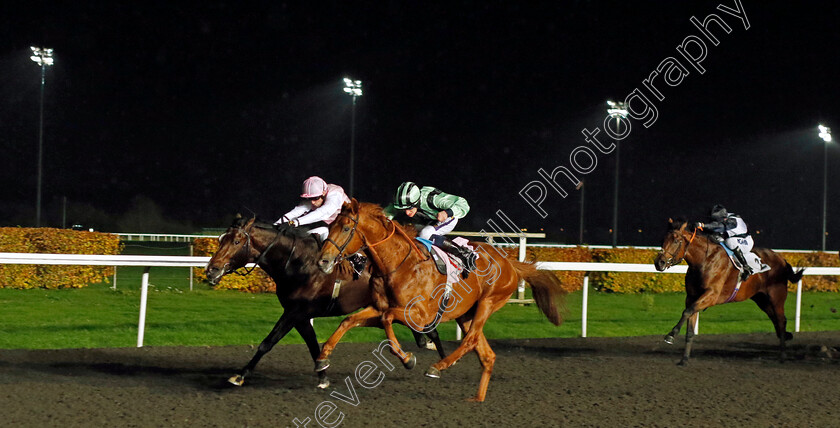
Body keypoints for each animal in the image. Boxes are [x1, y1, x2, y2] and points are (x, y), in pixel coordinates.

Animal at [205, 217, 446, 388]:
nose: (211, 270)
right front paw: (322, 375)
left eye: (236, 241)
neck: (298, 262)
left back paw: (440, 362)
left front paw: (240, 375)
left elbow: (268, 341)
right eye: (221, 239)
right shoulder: (300, 315)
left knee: (431, 330)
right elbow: (312, 345)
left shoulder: (295, 311)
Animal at [316, 201, 572, 402]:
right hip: (465, 314)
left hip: (488, 303)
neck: (398, 264)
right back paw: (476, 399)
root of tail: (509, 262)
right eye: (330, 226)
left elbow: (389, 322)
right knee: (486, 354)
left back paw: (438, 367)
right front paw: (322, 359)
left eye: (346, 228)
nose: (322, 261)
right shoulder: (379, 308)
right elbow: (349, 320)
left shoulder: (418, 315)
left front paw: (407, 359)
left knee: (470, 340)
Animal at [652, 221, 804, 364]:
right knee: (777, 321)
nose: (659, 262)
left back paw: (783, 356)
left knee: (780, 321)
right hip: (762, 300)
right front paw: (684, 359)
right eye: (662, 240)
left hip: (776, 297)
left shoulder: (711, 295)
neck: (704, 260)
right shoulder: (691, 297)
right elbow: (690, 328)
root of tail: (782, 259)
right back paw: (785, 338)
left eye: (676, 241)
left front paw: (671, 335)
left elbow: (687, 312)